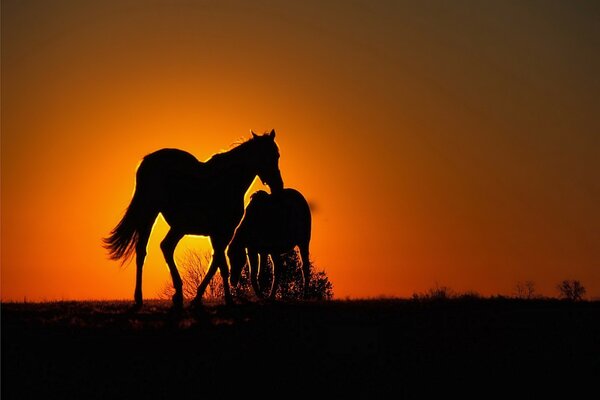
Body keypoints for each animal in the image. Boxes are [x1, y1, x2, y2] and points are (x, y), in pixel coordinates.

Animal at [102, 130, 284, 308]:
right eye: (266, 156)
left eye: (277, 155)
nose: (278, 186)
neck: (227, 182)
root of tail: (147, 161)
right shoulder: (223, 232)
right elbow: (221, 265)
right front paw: (227, 299)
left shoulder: (218, 234)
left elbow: (216, 263)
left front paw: (199, 297)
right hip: (151, 213)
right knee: (144, 250)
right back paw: (141, 298)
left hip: (178, 226)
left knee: (164, 247)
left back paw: (177, 295)